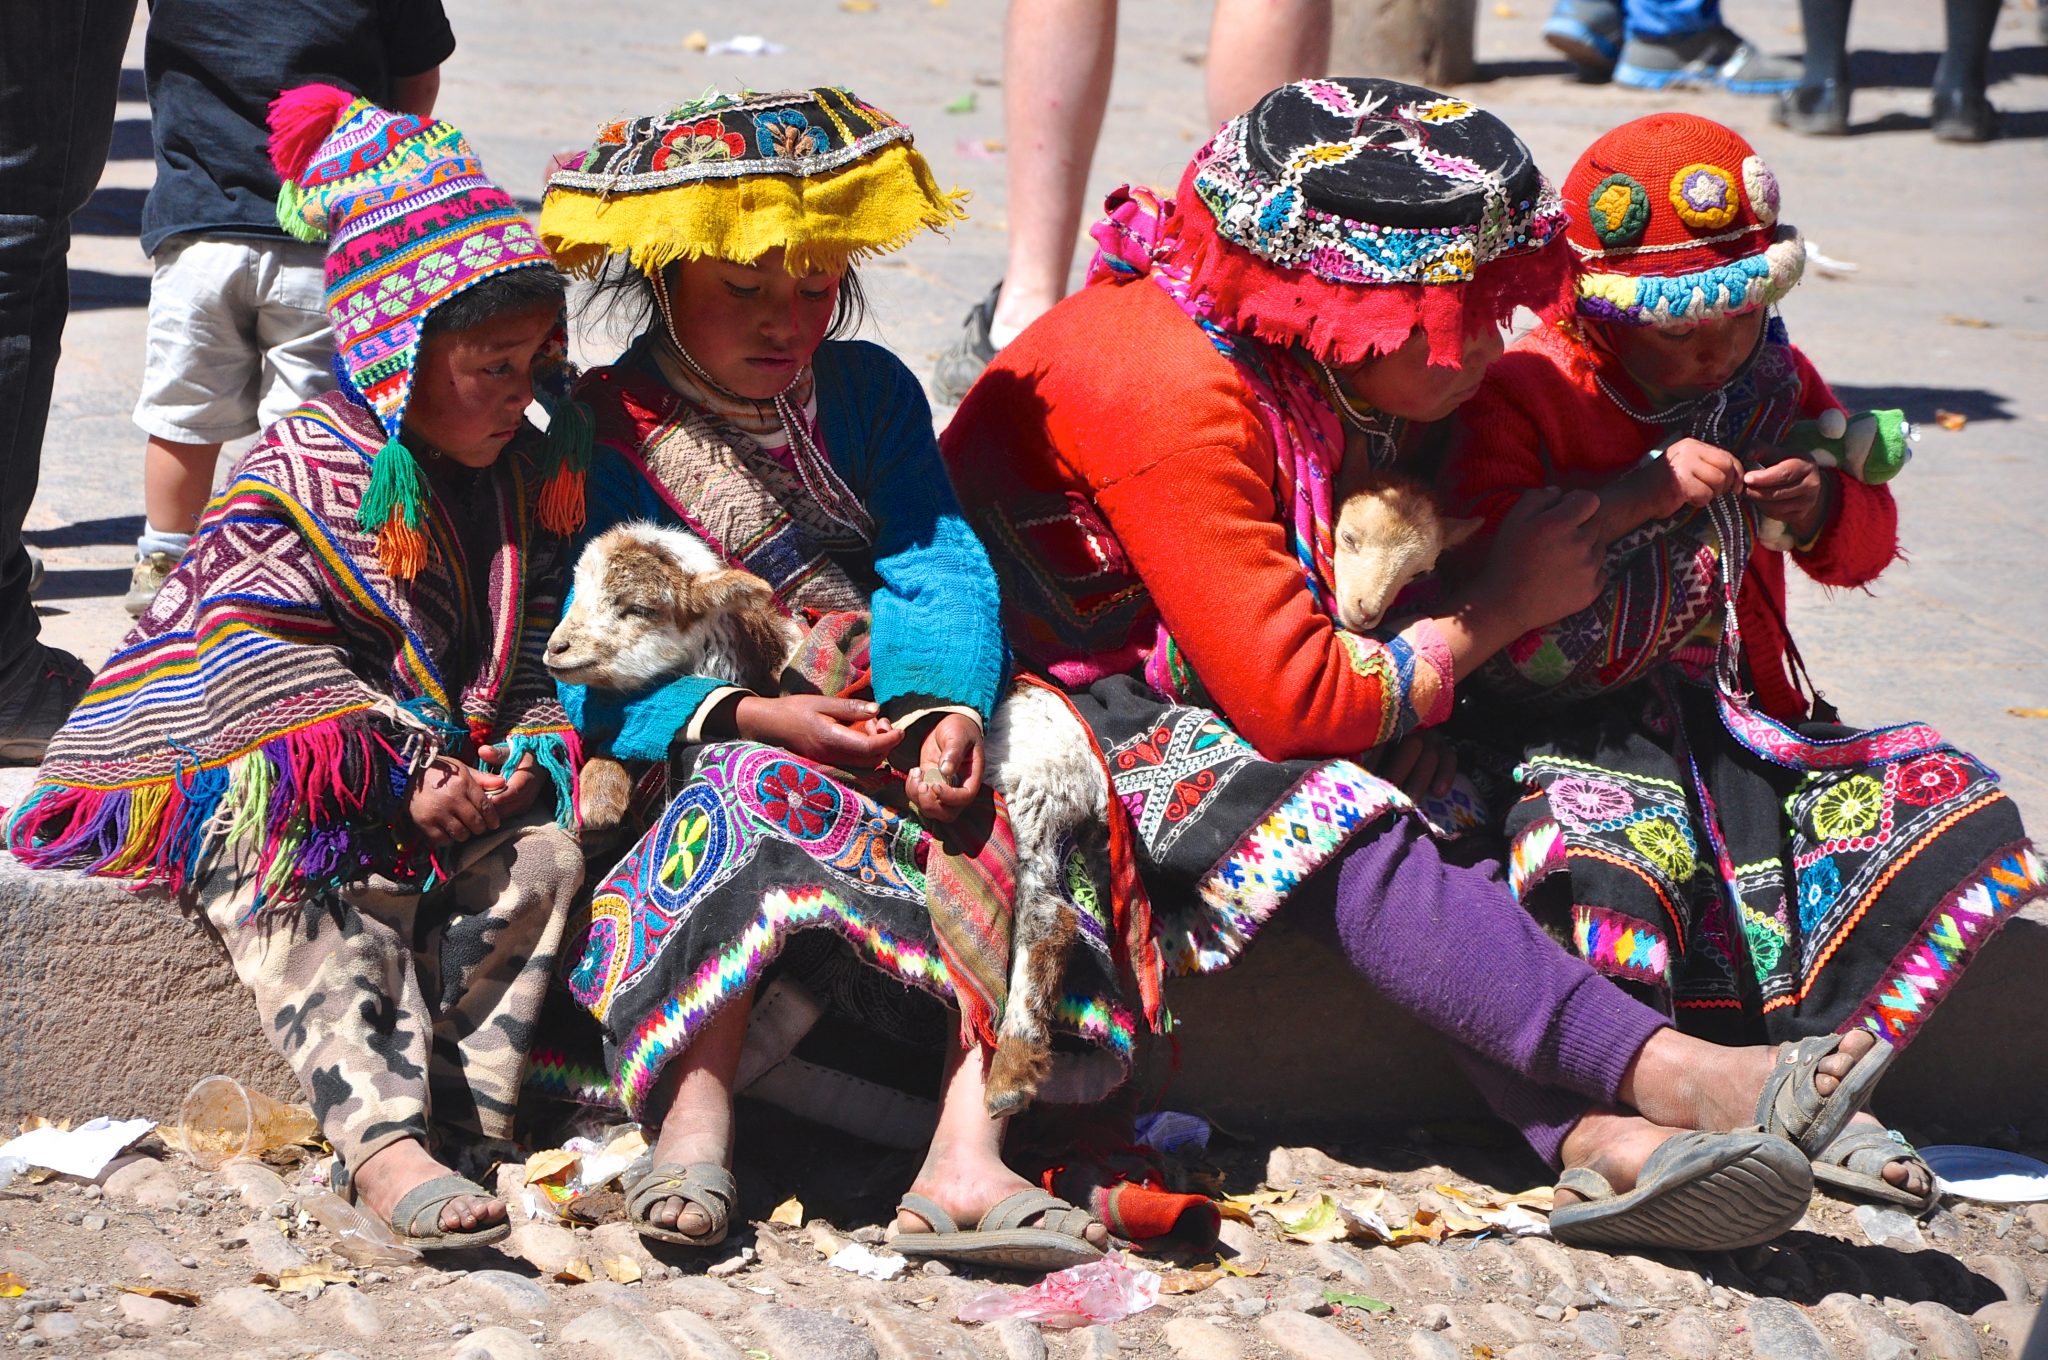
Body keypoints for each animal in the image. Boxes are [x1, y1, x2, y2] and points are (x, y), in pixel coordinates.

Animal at [544, 520, 1114, 1114]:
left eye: (636, 608)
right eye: (578, 589)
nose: (556, 648)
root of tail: (1089, 772)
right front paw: (599, 793)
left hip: (1023, 799)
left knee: (1046, 922)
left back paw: (1010, 1074)